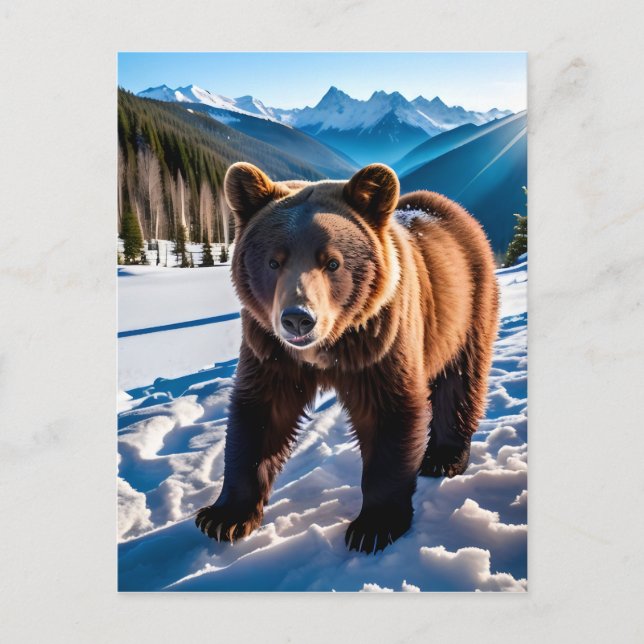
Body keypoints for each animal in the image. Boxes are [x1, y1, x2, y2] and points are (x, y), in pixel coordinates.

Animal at [195, 162, 499, 554]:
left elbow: (390, 411)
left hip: (466, 308)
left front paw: (373, 526)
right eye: (273, 261)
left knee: (460, 379)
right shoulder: (271, 352)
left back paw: (443, 457)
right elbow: (259, 414)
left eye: (332, 262)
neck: (331, 346)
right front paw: (223, 517)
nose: (298, 318)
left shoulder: (380, 340)